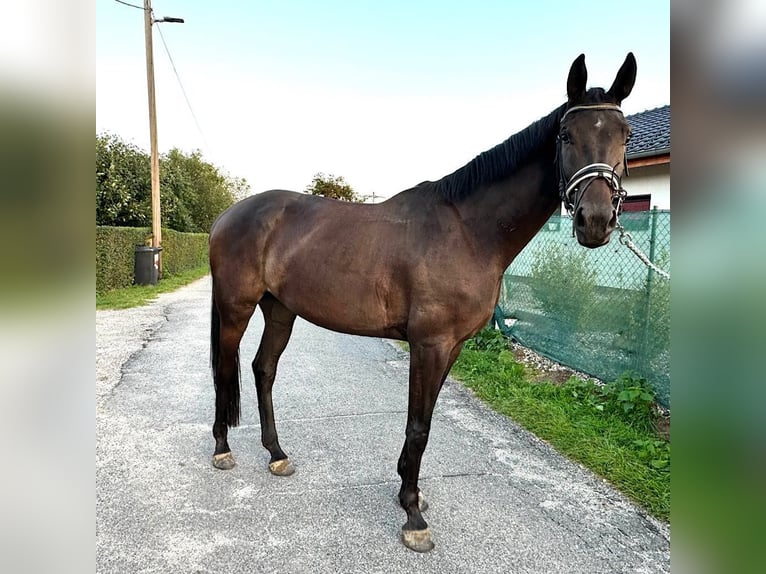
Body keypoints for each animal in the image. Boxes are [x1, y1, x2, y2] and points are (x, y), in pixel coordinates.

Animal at [208, 54, 636, 552]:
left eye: (624, 135)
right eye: (566, 135)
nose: (596, 220)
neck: (468, 230)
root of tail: (228, 215)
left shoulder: (452, 347)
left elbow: (425, 420)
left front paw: (408, 492)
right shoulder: (428, 344)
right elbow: (419, 424)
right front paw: (413, 515)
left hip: (280, 309)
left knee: (263, 370)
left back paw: (277, 454)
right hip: (237, 307)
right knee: (225, 368)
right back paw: (222, 449)